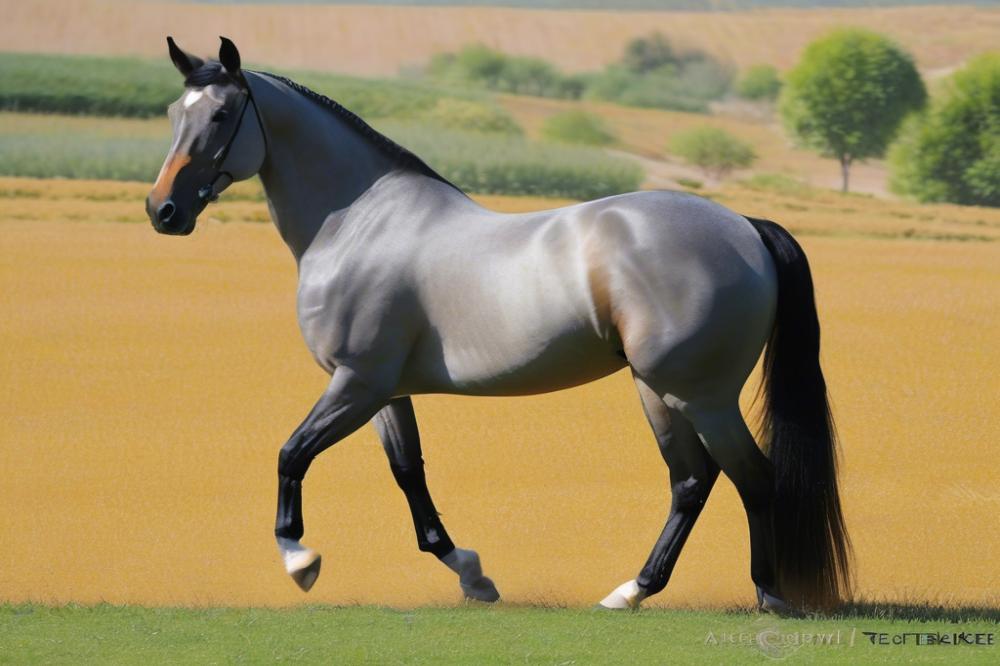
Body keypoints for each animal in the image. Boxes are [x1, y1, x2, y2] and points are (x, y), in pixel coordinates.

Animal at [148, 37, 852, 612]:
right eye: (175, 113)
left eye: (220, 115)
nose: (164, 211)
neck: (358, 223)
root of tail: (744, 227)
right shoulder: (383, 392)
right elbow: (409, 474)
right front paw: (472, 576)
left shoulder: (355, 384)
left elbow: (292, 453)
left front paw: (300, 560)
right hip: (658, 390)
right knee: (692, 481)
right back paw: (631, 591)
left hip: (700, 395)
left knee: (753, 478)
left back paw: (767, 596)